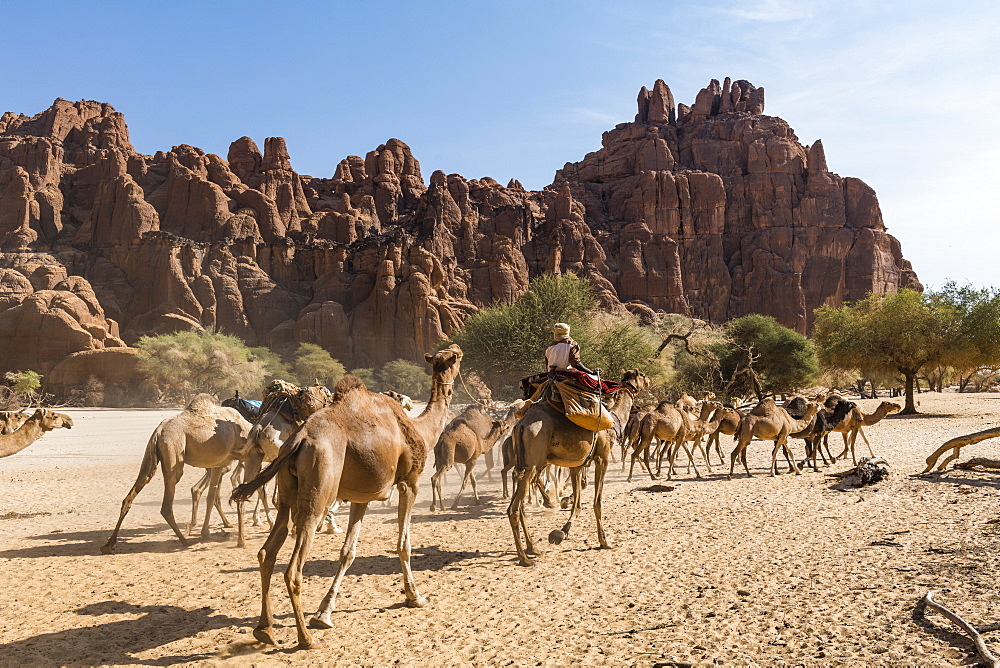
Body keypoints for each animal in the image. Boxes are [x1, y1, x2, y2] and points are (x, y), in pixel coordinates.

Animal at [100, 392, 254, 552]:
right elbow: (212, 497)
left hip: (150, 456)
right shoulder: (224, 461)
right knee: (167, 505)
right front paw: (206, 533)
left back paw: (109, 544)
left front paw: (207, 532)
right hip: (174, 451)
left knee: (132, 494)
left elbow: (211, 497)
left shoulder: (218, 464)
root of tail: (159, 430)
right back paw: (185, 541)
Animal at [229, 344, 462, 648]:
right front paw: (415, 597)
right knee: (293, 569)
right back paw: (305, 639)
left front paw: (324, 613)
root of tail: (299, 438)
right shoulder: (409, 483)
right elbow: (404, 544)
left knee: (267, 552)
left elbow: (348, 552)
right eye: (454, 356)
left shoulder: (361, 497)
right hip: (318, 491)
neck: (421, 431)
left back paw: (265, 630)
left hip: (289, 492)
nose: (458, 347)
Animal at [508, 368, 648, 568]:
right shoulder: (602, 458)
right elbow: (597, 502)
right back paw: (524, 558)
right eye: (642, 375)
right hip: (533, 462)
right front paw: (604, 541)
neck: (615, 420)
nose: (649, 381)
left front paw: (562, 531)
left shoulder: (577, 464)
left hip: (528, 462)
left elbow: (577, 502)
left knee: (519, 504)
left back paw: (532, 548)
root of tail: (520, 425)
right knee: (514, 508)